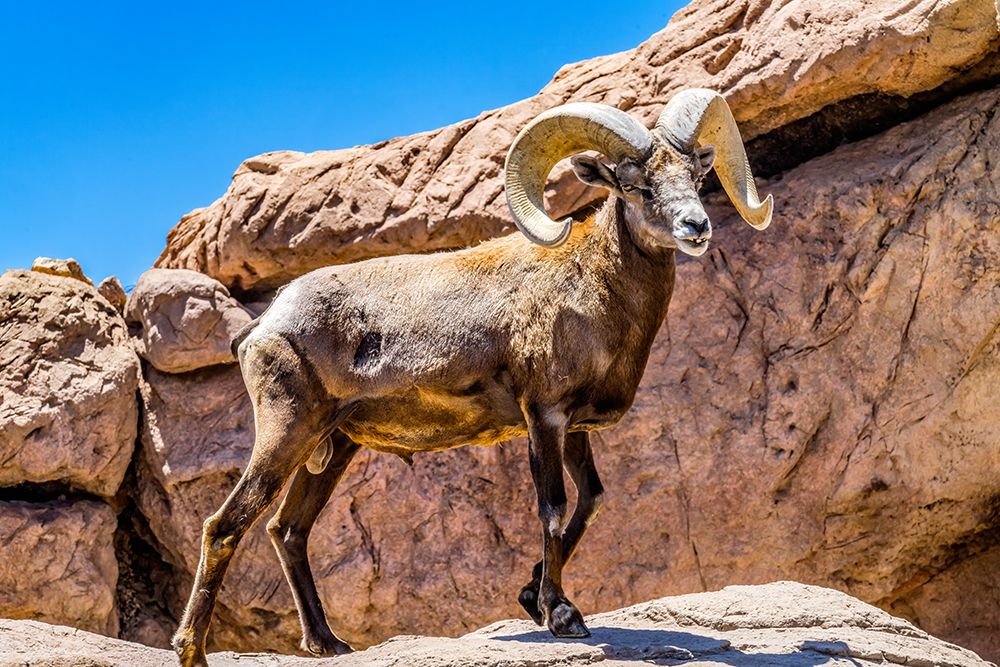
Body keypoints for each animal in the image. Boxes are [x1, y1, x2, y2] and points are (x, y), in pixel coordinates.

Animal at [172, 88, 773, 667]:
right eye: (634, 185)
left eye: (696, 177)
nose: (696, 227)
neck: (594, 293)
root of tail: (266, 323)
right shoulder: (545, 417)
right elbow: (553, 507)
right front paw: (561, 615)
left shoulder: (574, 429)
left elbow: (590, 502)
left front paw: (532, 599)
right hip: (287, 432)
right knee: (224, 526)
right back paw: (193, 651)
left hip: (333, 446)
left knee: (288, 530)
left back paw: (328, 644)